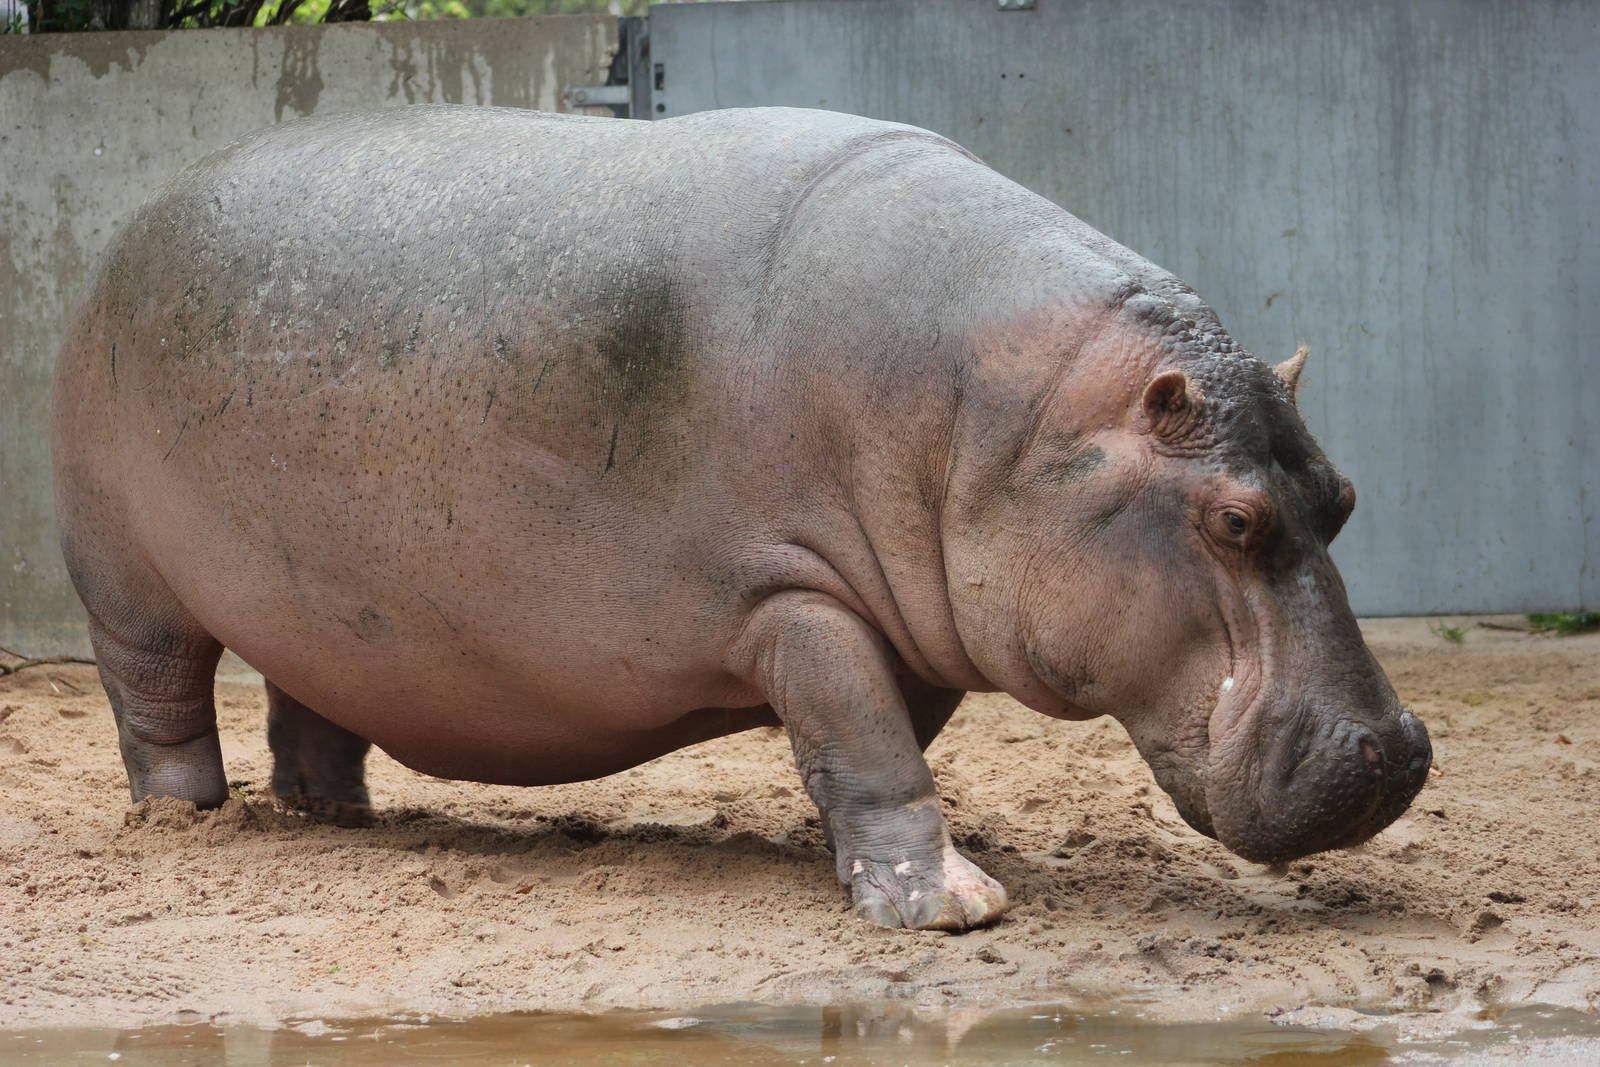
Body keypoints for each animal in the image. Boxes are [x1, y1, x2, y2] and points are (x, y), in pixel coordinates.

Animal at [52, 105, 1430, 930]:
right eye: (1233, 521)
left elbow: (868, 743)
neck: (1018, 421)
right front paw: (949, 908)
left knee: (312, 702)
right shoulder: (794, 594)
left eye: (1344, 495)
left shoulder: (904, 619)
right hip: (127, 578)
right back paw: (185, 819)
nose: (1394, 750)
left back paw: (337, 815)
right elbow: (866, 739)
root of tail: (132, 224)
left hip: (327, 599)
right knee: (160, 698)